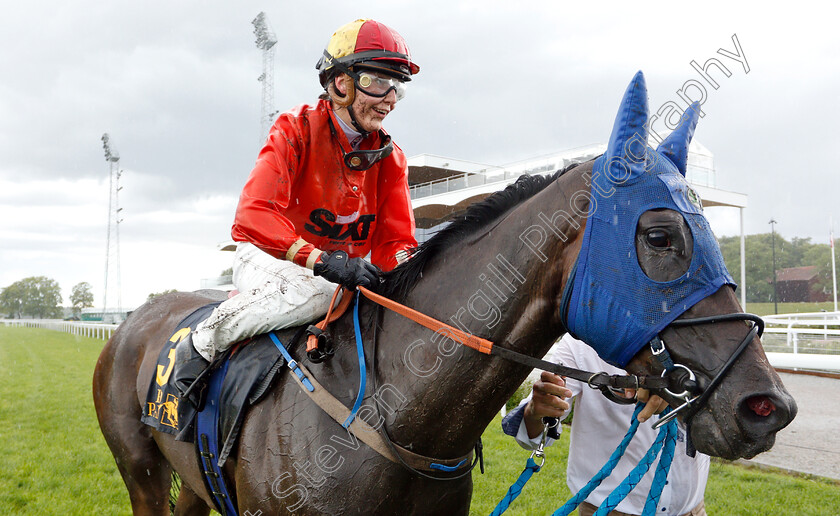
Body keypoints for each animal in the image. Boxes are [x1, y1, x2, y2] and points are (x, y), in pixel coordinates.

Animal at [95, 73, 796, 516]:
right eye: (659, 235)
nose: (768, 406)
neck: (386, 415)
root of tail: (136, 318)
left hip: (193, 480)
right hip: (142, 473)